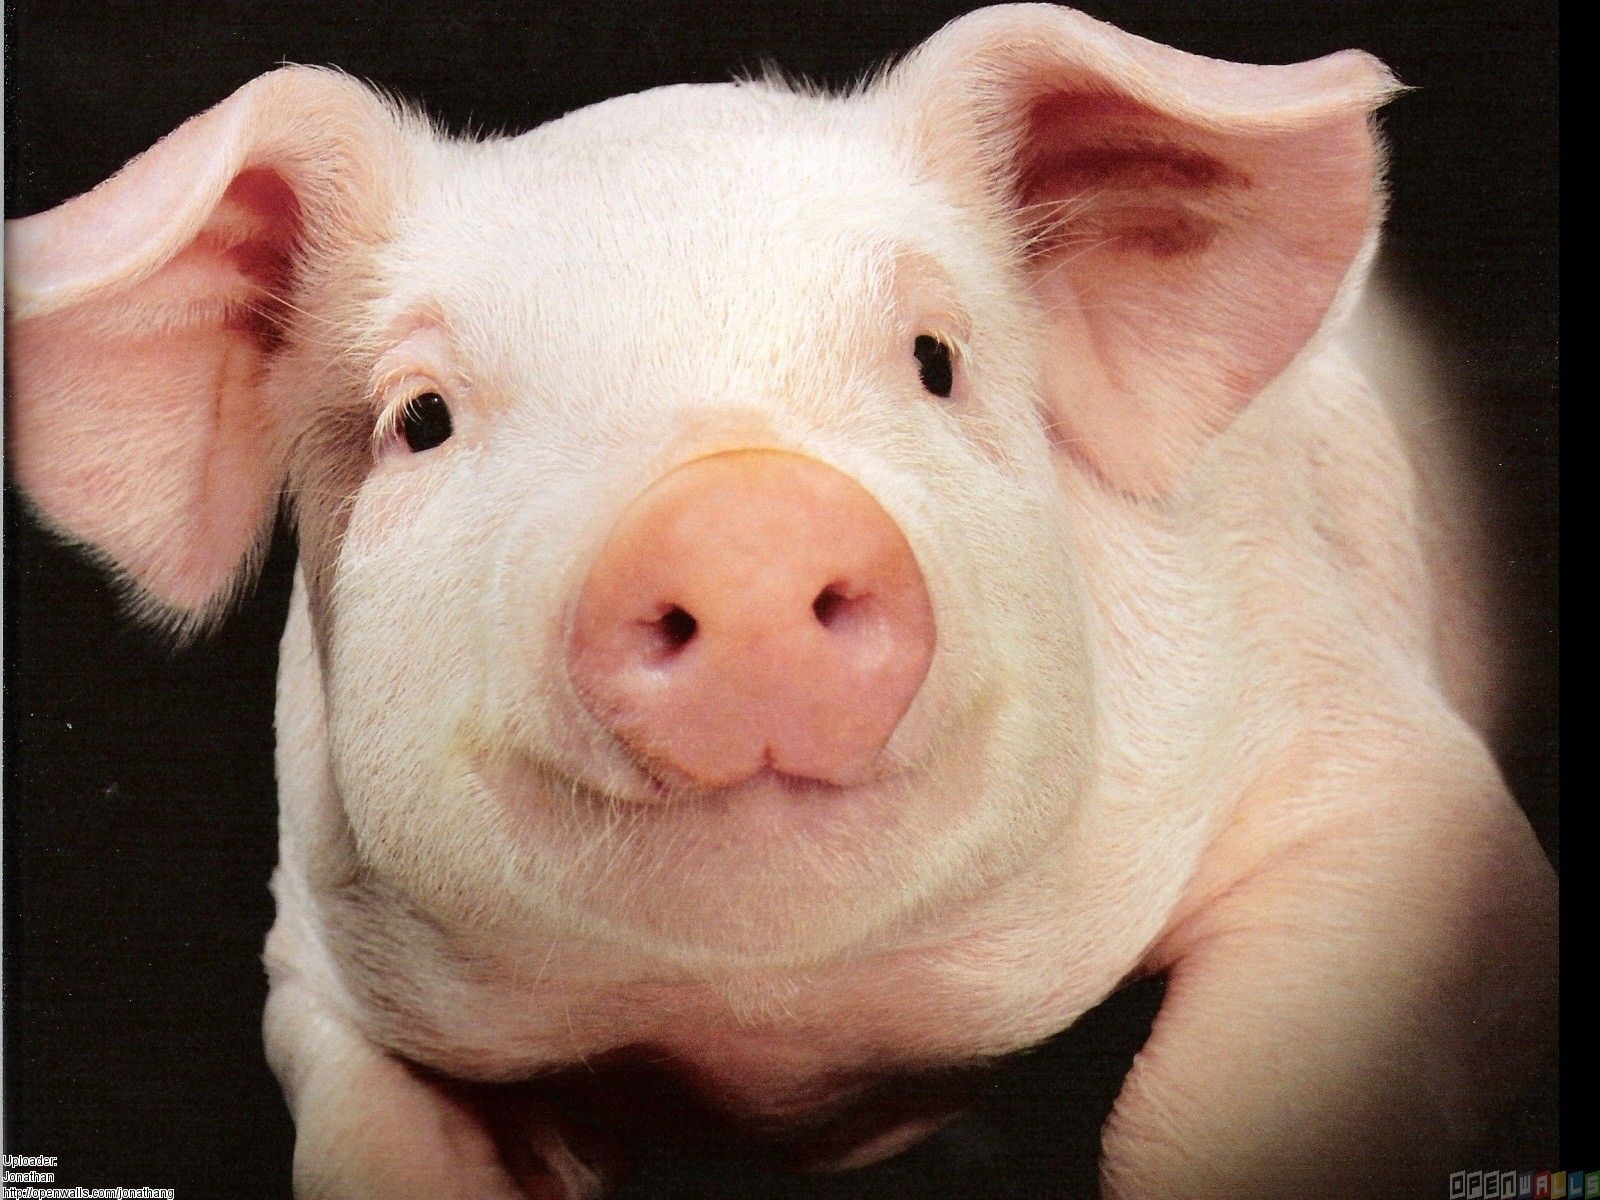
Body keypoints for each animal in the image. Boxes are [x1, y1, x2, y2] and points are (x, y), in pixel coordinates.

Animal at [3, 4, 1556, 1197]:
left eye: (935, 359)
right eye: (420, 420)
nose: (739, 517)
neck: (788, 1047)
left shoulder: (1378, 775)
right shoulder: (317, 955)